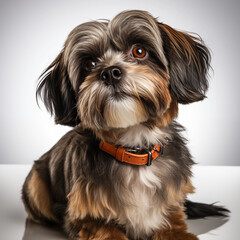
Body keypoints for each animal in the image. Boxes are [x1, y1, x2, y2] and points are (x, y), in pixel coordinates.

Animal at [21, 9, 229, 240]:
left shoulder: (171, 207)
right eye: (90, 63)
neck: (134, 148)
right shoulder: (86, 217)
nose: (110, 72)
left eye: (139, 51)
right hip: (35, 184)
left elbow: (173, 224)